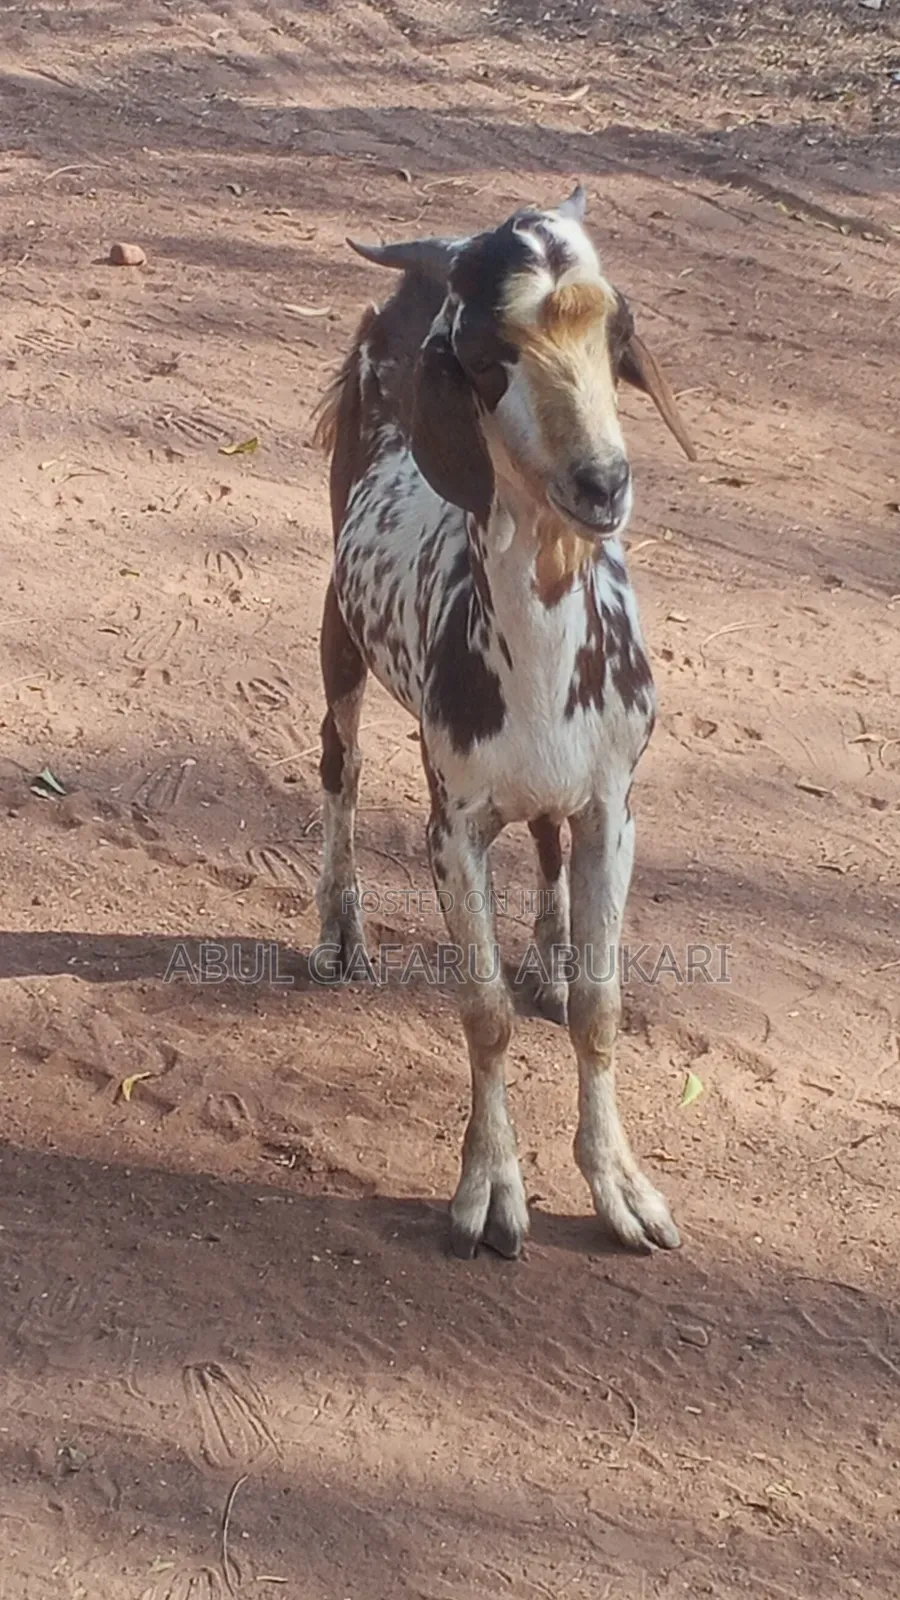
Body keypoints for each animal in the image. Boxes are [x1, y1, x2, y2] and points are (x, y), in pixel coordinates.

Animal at [313, 185, 696, 1260]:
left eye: (617, 327)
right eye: (490, 355)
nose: (603, 482)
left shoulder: (614, 803)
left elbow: (604, 1005)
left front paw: (624, 1188)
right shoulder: (455, 827)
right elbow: (481, 1011)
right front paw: (490, 1192)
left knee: (548, 837)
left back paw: (551, 957)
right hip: (339, 624)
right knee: (340, 767)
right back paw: (342, 931)